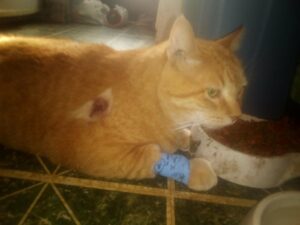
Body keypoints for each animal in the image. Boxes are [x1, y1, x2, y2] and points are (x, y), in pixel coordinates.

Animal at [0, 16, 246, 191]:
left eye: (241, 90)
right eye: (213, 92)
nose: (237, 117)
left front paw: (182, 137)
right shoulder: (94, 153)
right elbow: (152, 156)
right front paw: (194, 169)